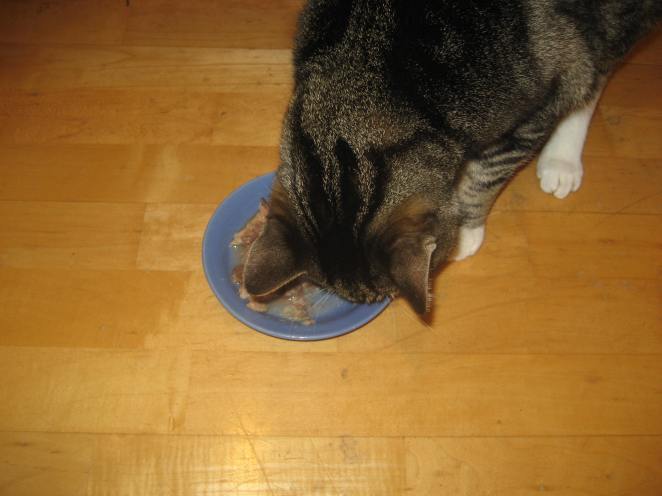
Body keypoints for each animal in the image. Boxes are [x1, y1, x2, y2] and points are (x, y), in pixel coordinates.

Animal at [243, 0, 661, 314]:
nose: (385, 301)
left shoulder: (531, 114)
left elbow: (486, 173)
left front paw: (465, 231)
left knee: (592, 72)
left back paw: (563, 156)